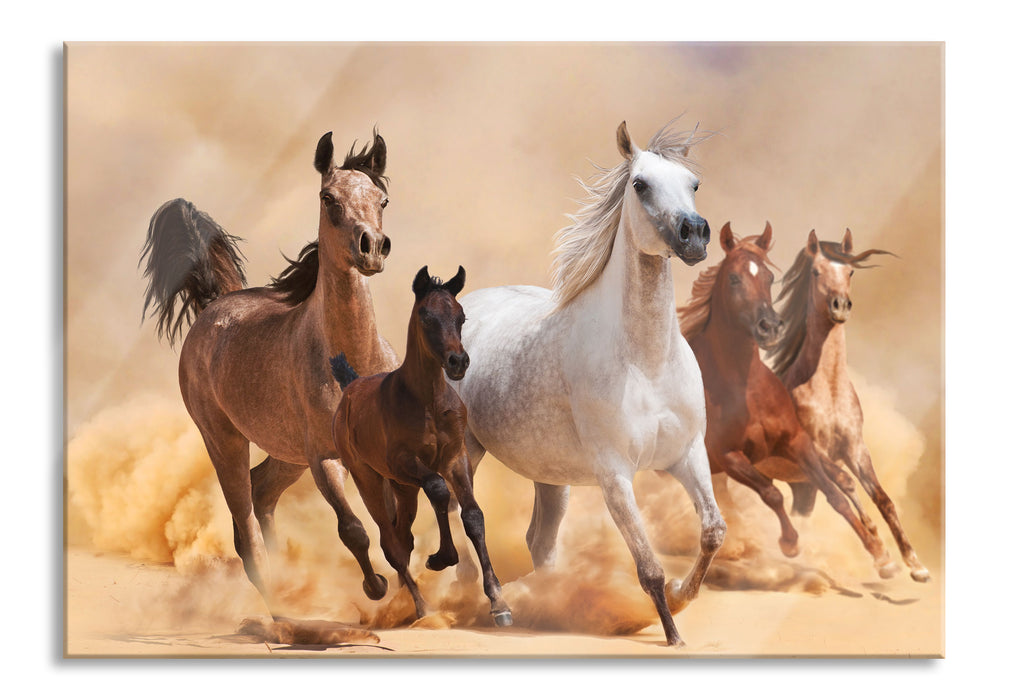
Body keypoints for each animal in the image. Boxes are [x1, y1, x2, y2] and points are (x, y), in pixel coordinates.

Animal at [139, 130, 398, 610]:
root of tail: (215, 304)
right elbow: (354, 530)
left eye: (382, 199)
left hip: (285, 454)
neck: (353, 361)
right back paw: (277, 604)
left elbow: (394, 525)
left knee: (261, 492)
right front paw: (377, 588)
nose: (371, 247)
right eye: (328, 198)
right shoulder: (325, 458)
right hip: (225, 441)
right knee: (246, 528)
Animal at [329, 266, 513, 627]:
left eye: (461, 316)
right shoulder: (405, 461)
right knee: (391, 543)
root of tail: (351, 386)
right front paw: (441, 558)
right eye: (426, 315)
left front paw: (499, 602)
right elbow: (439, 490)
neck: (427, 401)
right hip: (370, 478)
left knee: (403, 537)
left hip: (403, 489)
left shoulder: (456, 457)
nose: (458, 361)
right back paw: (419, 606)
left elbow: (473, 516)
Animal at [451, 120, 725, 647]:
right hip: (465, 452)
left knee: (540, 542)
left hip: (550, 476)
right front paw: (673, 634)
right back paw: (487, 604)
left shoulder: (687, 454)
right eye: (640, 184)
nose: (695, 235)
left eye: (694, 184)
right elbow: (648, 567)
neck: (646, 362)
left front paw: (684, 596)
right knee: (462, 521)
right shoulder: (614, 474)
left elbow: (712, 532)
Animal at [678, 221, 900, 578]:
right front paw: (790, 543)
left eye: (770, 277)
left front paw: (883, 554)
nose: (769, 327)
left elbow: (838, 494)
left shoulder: (802, 442)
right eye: (734, 278)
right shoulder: (729, 455)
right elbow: (772, 493)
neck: (745, 388)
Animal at [766, 229, 930, 582]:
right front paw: (882, 556)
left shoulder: (855, 448)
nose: (840, 306)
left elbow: (883, 498)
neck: (827, 390)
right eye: (816, 271)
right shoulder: (813, 450)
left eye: (851, 271)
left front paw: (915, 564)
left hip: (801, 485)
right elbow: (845, 483)